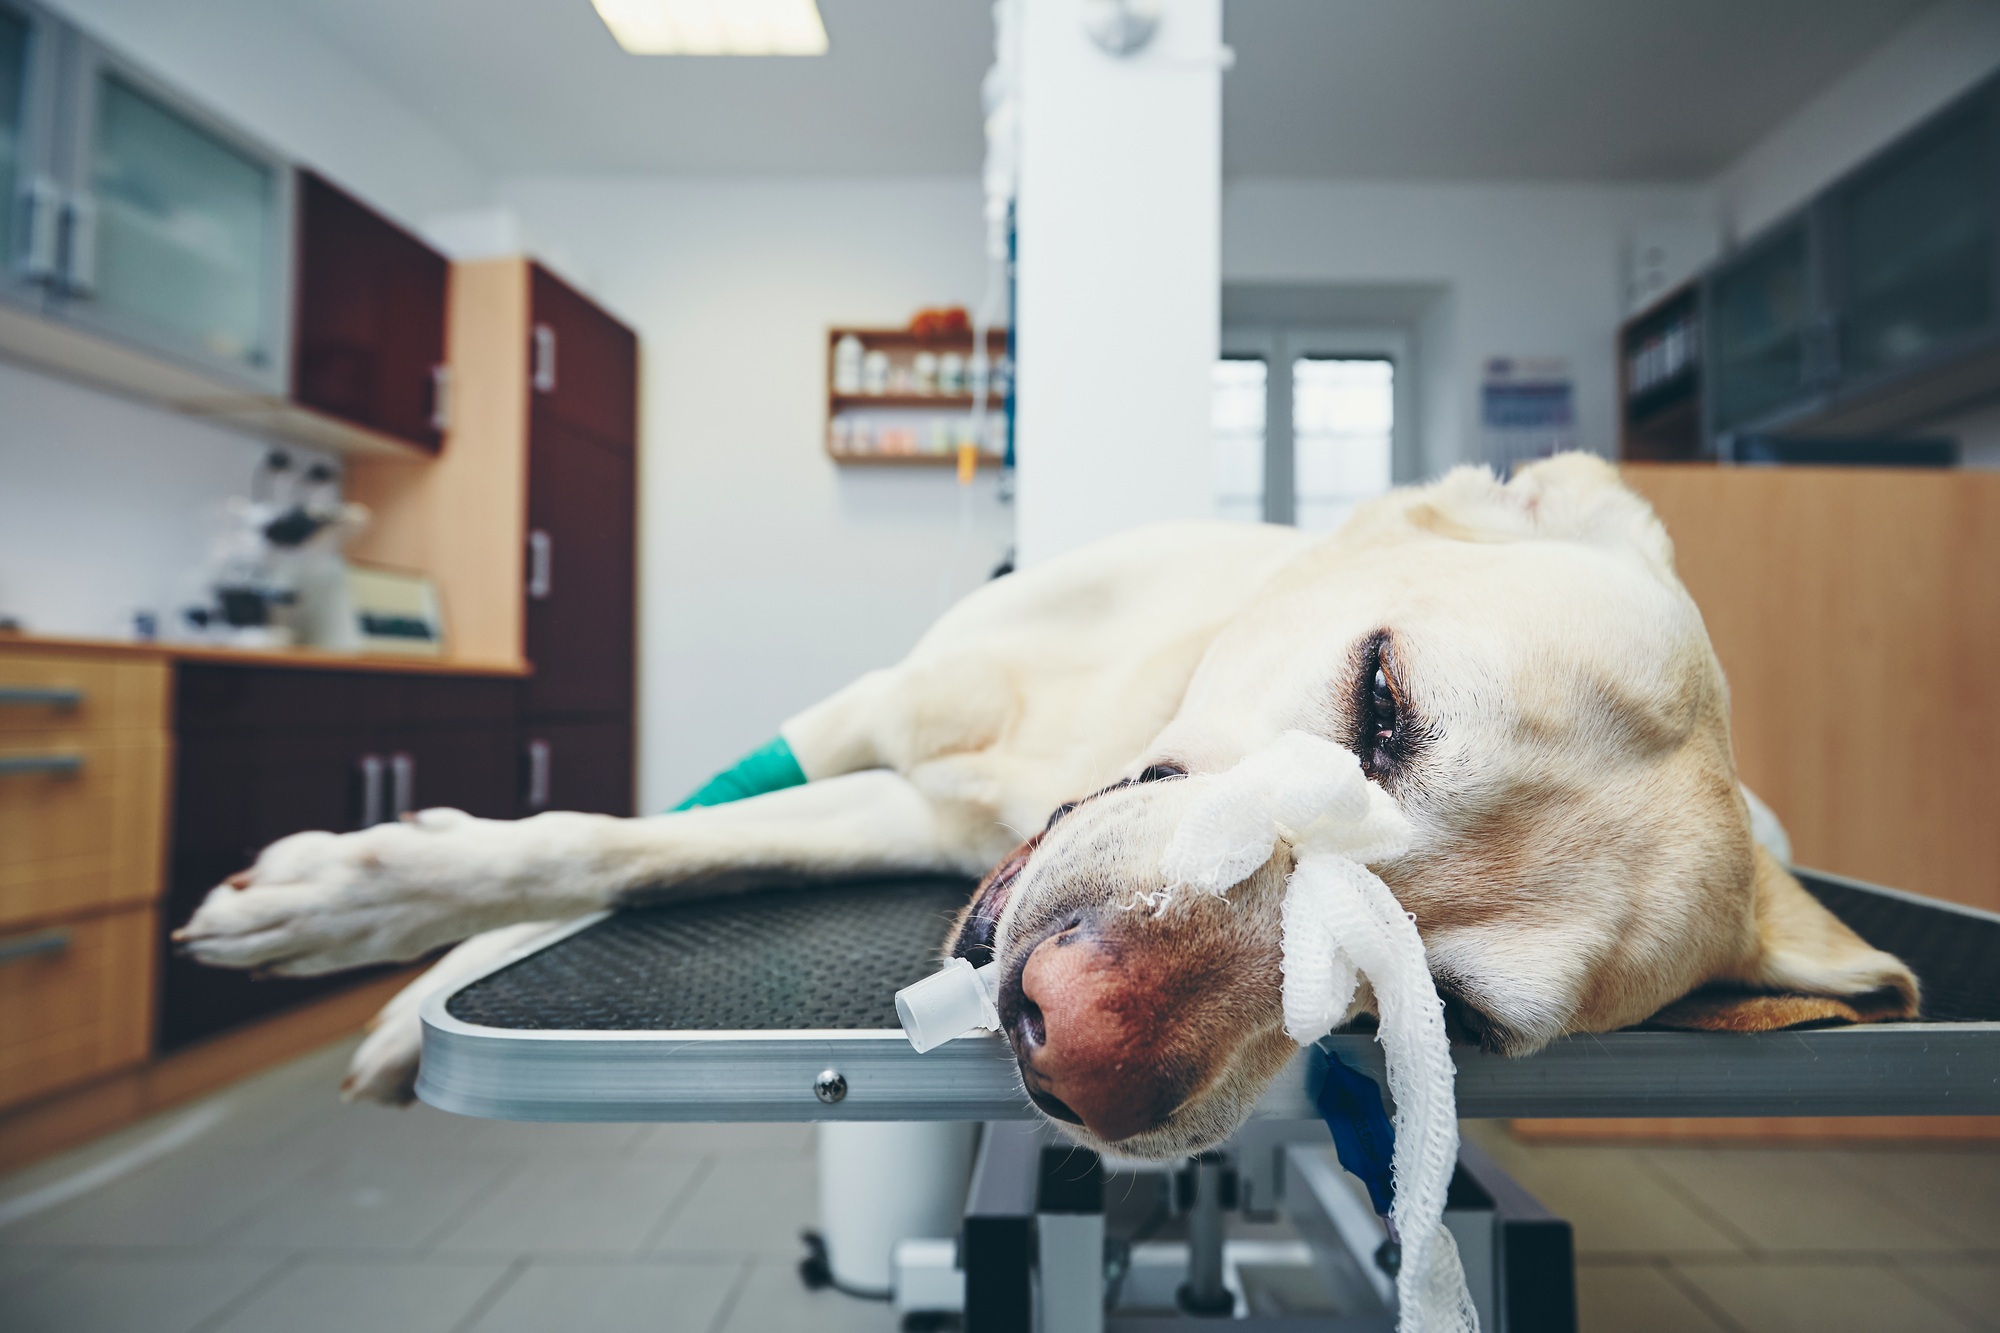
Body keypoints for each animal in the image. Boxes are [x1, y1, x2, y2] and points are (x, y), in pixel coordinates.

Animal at [180, 454, 1912, 1152]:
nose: (1073, 1044)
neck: (1107, 708)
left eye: (1462, 1025)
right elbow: (615, 838)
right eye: (1382, 700)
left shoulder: (918, 817)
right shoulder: (865, 736)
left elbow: (664, 857)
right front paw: (362, 919)